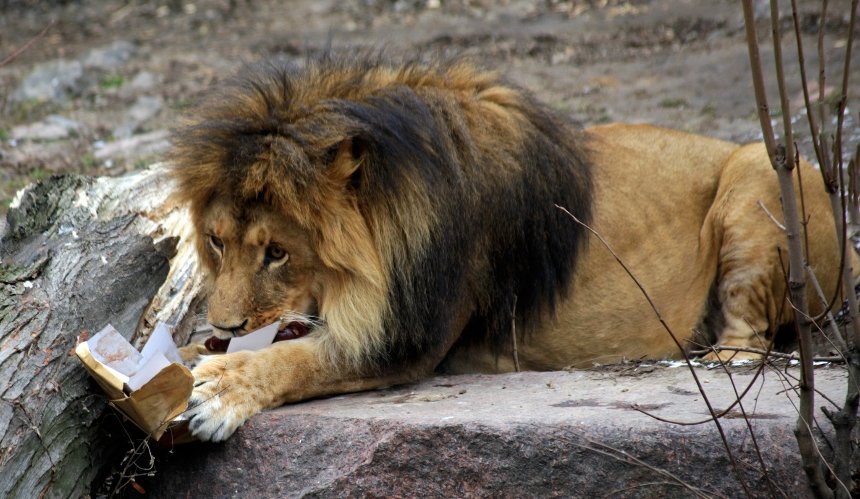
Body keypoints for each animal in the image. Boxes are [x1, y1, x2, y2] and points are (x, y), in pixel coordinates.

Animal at [171, 54, 856, 442]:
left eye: (278, 253)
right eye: (216, 241)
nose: (224, 325)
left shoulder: (408, 338)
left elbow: (300, 359)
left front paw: (218, 389)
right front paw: (186, 360)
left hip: (764, 168)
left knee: (755, 337)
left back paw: (713, 358)